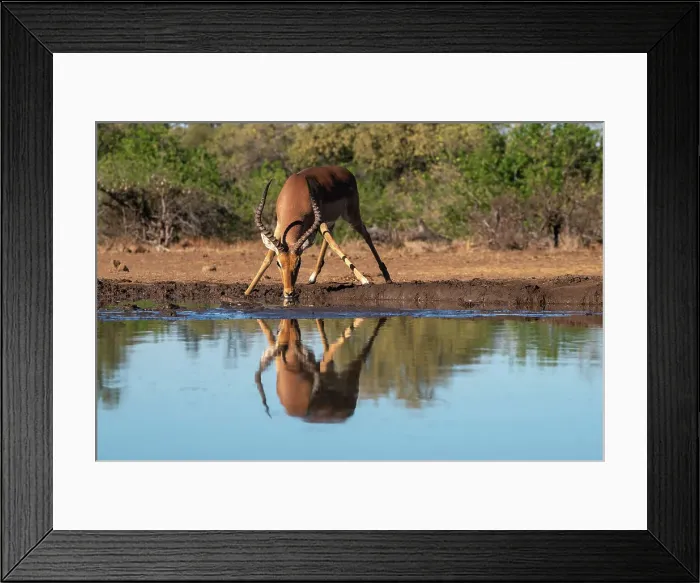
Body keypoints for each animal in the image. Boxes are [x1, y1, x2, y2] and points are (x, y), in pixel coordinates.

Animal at [244, 166, 392, 300]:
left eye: (298, 263)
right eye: (278, 264)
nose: (289, 292)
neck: (295, 194)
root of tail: (346, 171)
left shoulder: (317, 220)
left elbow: (334, 244)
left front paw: (364, 280)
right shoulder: (280, 226)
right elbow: (268, 257)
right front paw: (247, 291)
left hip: (350, 215)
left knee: (364, 234)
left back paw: (387, 277)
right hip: (331, 220)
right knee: (329, 237)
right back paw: (312, 277)